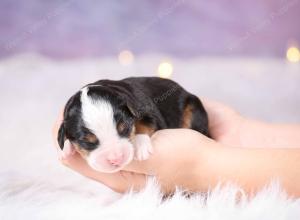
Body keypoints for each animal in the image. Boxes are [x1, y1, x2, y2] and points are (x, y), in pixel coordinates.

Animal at [56, 76, 209, 173]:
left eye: (124, 128)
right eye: (87, 142)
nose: (116, 159)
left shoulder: (150, 113)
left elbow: (143, 125)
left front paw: (140, 147)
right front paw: (67, 149)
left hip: (193, 108)